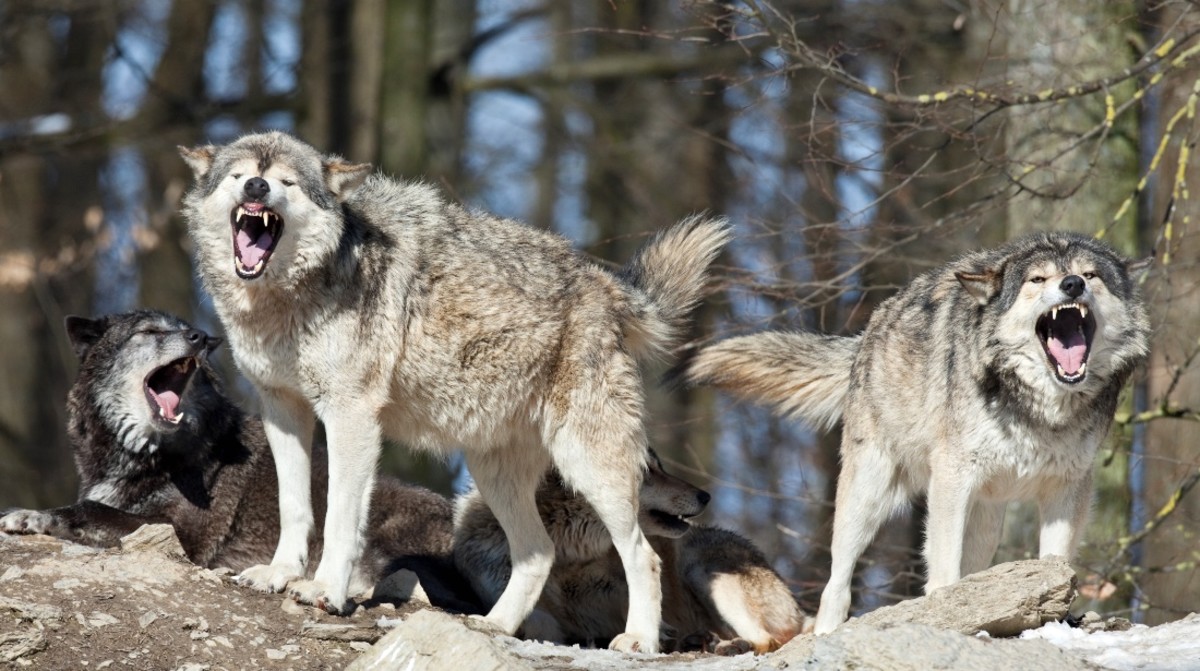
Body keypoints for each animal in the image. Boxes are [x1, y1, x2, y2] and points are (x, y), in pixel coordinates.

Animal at [0, 309, 477, 614]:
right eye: (149, 331)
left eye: (187, 329)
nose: (199, 336)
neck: (147, 453)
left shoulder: (182, 538)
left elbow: (91, 508)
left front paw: (33, 516)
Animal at [175, 130, 720, 652]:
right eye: (241, 174)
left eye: (286, 182)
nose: (256, 188)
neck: (287, 297)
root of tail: (607, 286)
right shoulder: (283, 410)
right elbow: (294, 505)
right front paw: (279, 573)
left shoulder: (351, 415)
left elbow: (340, 518)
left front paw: (325, 589)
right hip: (494, 474)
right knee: (538, 553)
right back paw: (495, 626)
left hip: (591, 467)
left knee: (643, 557)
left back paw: (639, 640)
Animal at [453, 451, 811, 657]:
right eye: (645, 470)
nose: (705, 496)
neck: (569, 555)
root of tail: (798, 608)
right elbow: (536, 620)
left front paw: (653, 636)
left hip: (702, 569)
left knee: (766, 641)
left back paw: (724, 645)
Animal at [681, 232, 1147, 633]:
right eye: (1038, 279)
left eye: (1090, 275)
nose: (1071, 285)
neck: (1040, 408)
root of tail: (867, 334)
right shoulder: (952, 477)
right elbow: (942, 564)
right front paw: (945, 610)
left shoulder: (1068, 487)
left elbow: (1055, 560)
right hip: (867, 496)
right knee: (837, 581)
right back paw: (827, 630)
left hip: (987, 518)